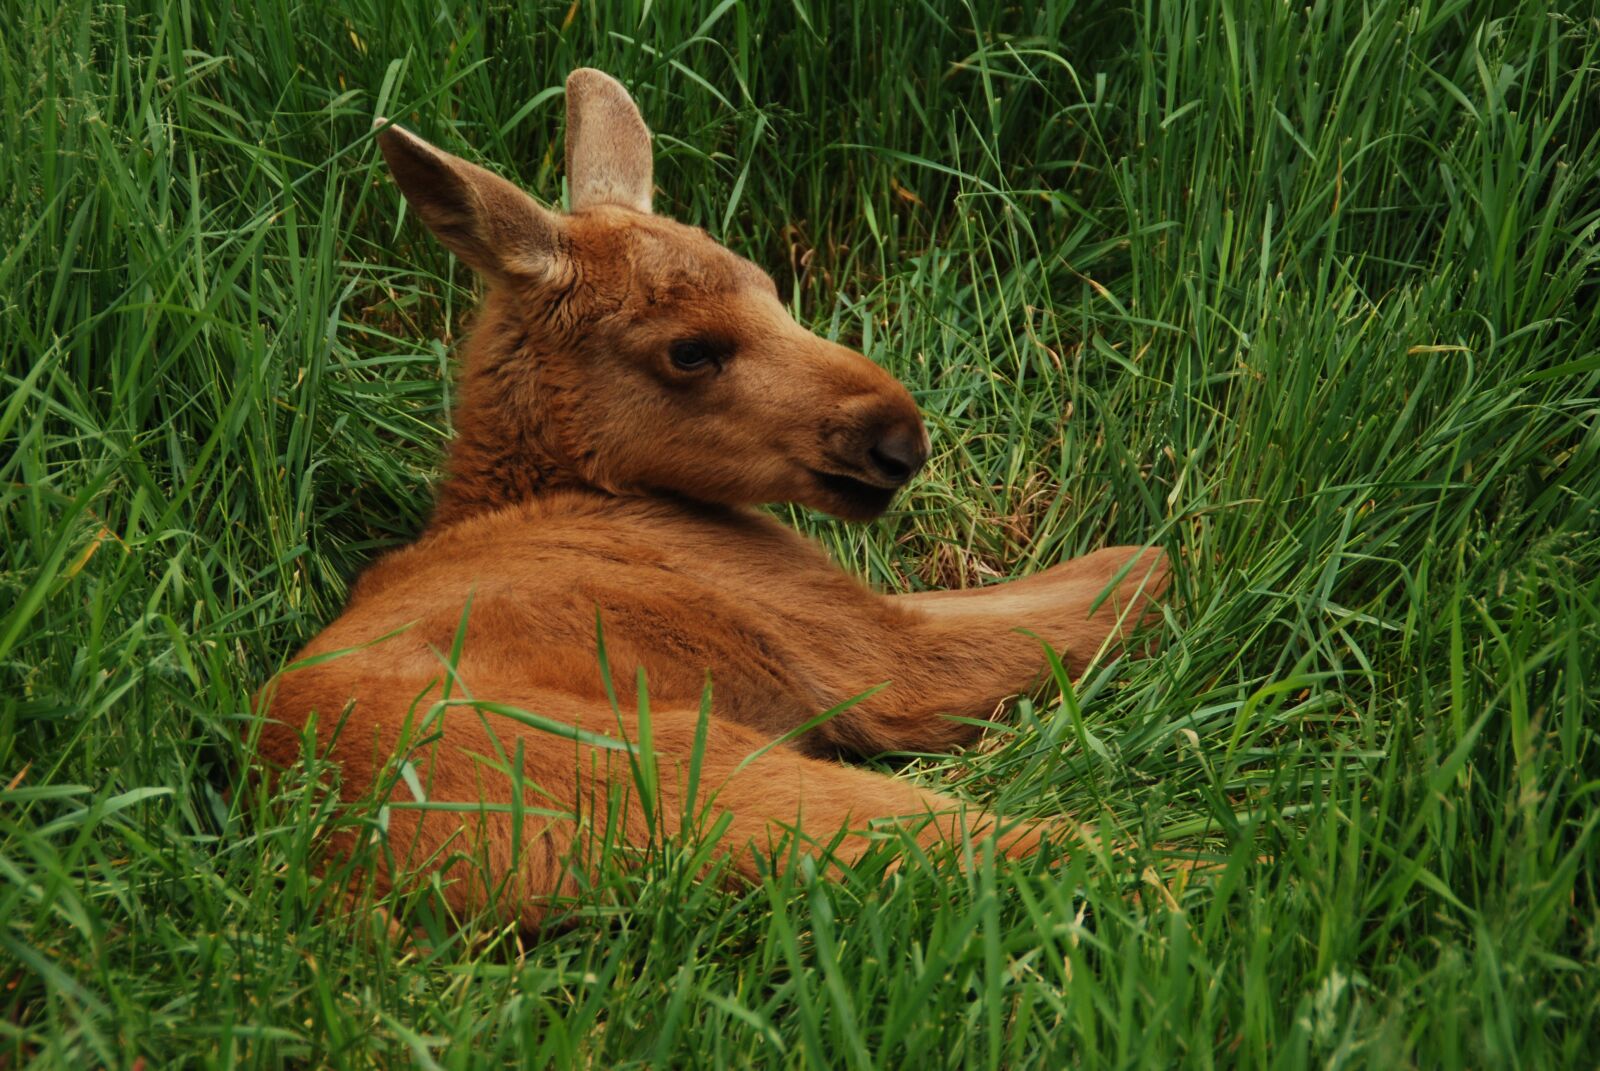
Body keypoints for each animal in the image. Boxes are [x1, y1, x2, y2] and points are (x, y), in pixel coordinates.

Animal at [255, 68, 1168, 931]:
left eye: (770, 286)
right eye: (690, 351)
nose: (898, 439)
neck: (553, 489)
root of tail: (367, 885)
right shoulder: (860, 648)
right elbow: (1138, 571)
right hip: (715, 770)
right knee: (1080, 856)